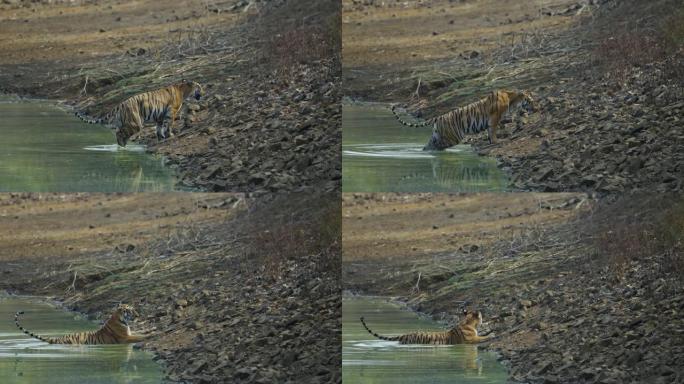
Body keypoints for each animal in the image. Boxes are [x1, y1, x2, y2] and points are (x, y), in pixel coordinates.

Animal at [15, 304, 148, 344]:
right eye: (130, 311)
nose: (138, 315)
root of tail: (57, 339)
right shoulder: (125, 338)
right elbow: (139, 336)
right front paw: (149, 336)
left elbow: (140, 333)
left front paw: (148, 332)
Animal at [360, 308, 494, 344]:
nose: (483, 318)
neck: (467, 322)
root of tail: (403, 335)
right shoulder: (471, 340)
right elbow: (482, 337)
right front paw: (492, 335)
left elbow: (483, 334)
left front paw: (490, 330)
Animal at [392, 89, 536, 151]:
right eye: (531, 101)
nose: (537, 108)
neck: (513, 101)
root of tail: (439, 117)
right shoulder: (494, 118)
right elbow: (493, 130)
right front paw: (496, 141)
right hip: (452, 137)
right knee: (437, 146)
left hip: (437, 135)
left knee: (429, 145)